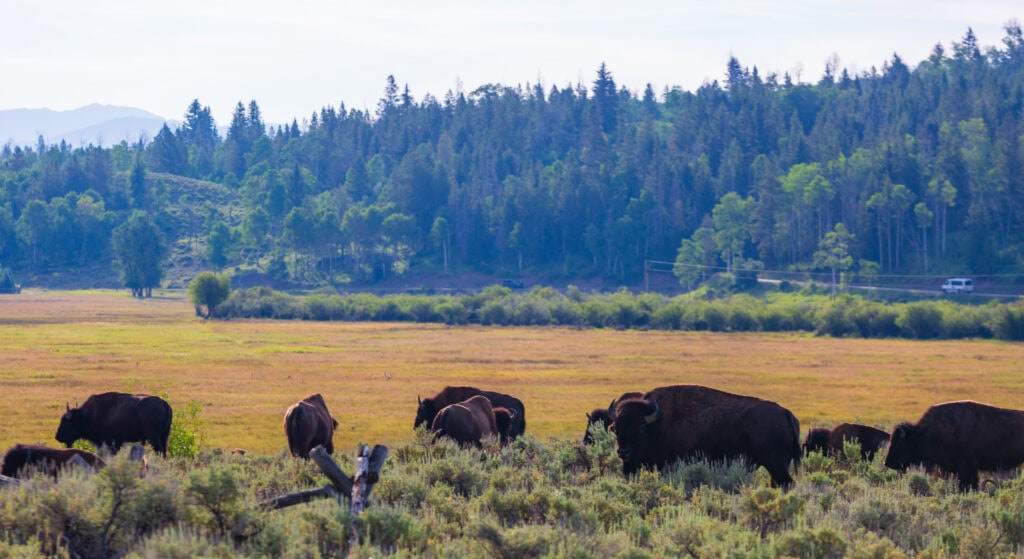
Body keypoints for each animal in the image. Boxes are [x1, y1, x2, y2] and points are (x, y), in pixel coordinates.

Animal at [610, 385, 801, 487]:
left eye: (641, 427)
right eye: (616, 428)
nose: (623, 452)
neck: (658, 424)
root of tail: (785, 413)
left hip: (776, 464)